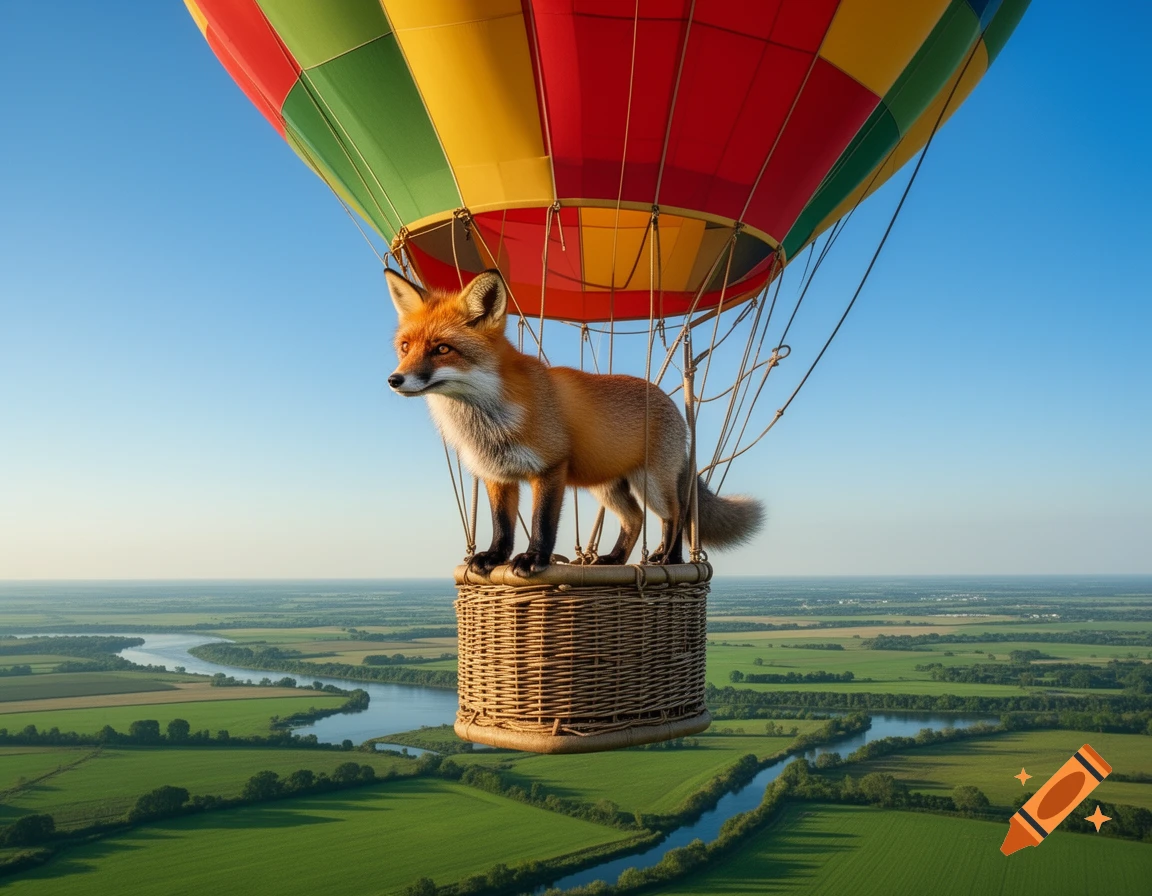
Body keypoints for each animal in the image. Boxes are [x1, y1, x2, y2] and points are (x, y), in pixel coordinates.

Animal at [385, 268, 763, 578]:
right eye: (405, 347)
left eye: (442, 349)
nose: (394, 380)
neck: (488, 420)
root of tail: (670, 401)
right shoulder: (497, 475)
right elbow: (501, 526)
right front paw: (494, 557)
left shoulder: (551, 468)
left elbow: (542, 523)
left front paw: (534, 559)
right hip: (607, 486)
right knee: (635, 518)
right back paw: (613, 560)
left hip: (652, 483)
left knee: (676, 514)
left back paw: (669, 559)